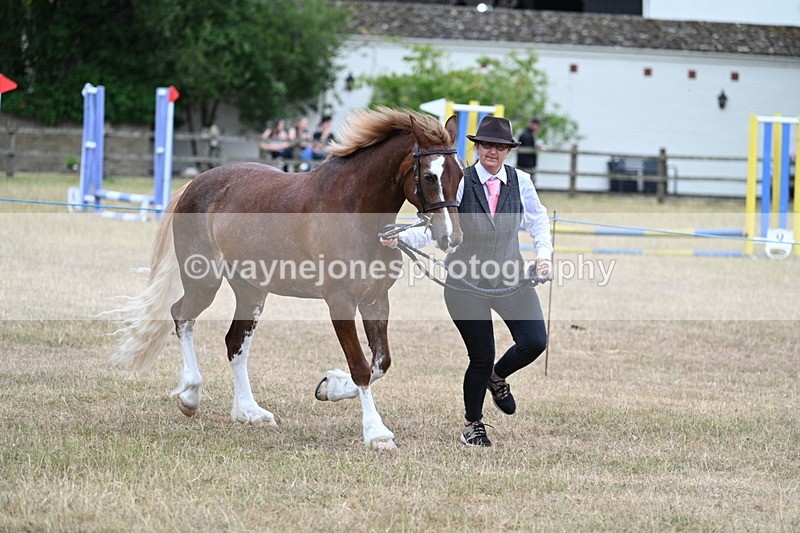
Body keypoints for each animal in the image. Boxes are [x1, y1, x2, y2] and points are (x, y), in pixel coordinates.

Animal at [110, 107, 463, 450]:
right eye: (429, 175)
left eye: (459, 175)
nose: (451, 237)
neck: (355, 212)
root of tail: (196, 183)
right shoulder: (340, 303)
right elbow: (361, 367)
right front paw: (376, 433)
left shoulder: (376, 300)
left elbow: (380, 363)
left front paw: (330, 387)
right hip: (204, 281)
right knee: (181, 316)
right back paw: (190, 395)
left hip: (251, 291)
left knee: (234, 343)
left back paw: (249, 412)